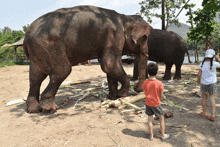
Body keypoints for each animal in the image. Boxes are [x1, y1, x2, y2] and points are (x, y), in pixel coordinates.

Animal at [22, 4, 153, 112]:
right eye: (145, 37)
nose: (137, 88)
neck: (125, 17)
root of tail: (26, 36)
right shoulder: (115, 36)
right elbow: (109, 64)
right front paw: (122, 95)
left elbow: (108, 68)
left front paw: (112, 97)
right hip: (49, 46)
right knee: (62, 71)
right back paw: (49, 108)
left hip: (38, 50)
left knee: (35, 77)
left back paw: (33, 109)